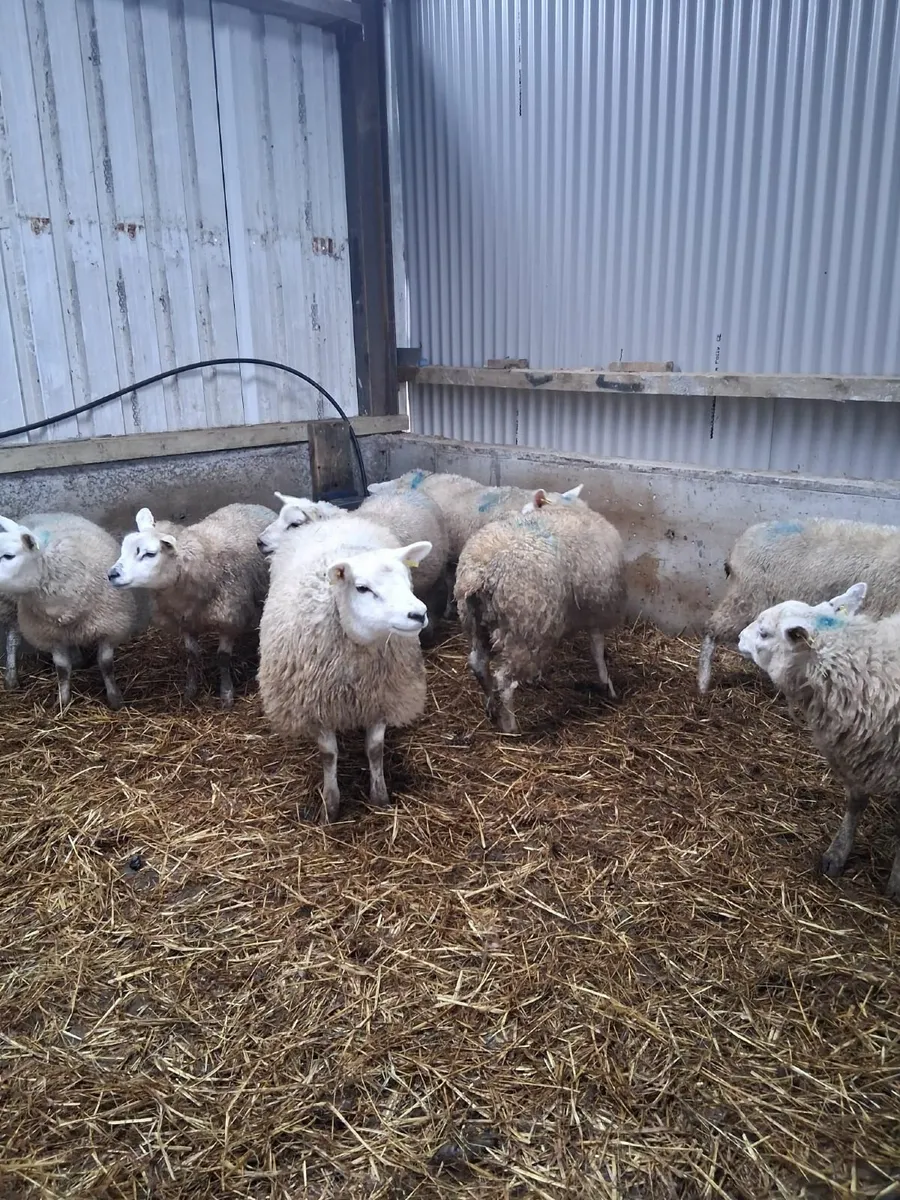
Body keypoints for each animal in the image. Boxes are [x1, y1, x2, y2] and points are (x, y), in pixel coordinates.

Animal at [0, 511, 144, 709]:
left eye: (8, 556)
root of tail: (41, 513)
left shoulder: (110, 627)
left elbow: (106, 665)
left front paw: (115, 699)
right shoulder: (49, 634)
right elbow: (62, 669)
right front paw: (63, 703)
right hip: (11, 606)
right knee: (12, 641)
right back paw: (11, 678)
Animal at [108, 503, 275, 709]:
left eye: (149, 554)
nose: (112, 574)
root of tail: (252, 504)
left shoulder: (229, 619)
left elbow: (223, 658)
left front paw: (226, 695)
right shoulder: (185, 621)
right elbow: (192, 656)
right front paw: (190, 691)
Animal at [258, 513, 432, 822]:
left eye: (406, 579)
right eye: (362, 588)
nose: (418, 614)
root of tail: (332, 519)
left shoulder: (380, 698)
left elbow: (375, 750)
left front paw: (380, 797)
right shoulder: (317, 706)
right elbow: (329, 755)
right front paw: (330, 806)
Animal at [454, 486, 626, 733]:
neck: (562, 508)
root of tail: (480, 572)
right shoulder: (596, 609)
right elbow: (597, 650)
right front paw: (607, 685)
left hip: (476, 622)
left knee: (478, 664)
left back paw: (491, 707)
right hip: (524, 630)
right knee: (505, 681)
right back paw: (511, 727)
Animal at [738, 583, 900, 900]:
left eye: (764, 633)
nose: (739, 638)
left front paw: (896, 883)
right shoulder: (857, 756)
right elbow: (856, 802)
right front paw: (836, 854)